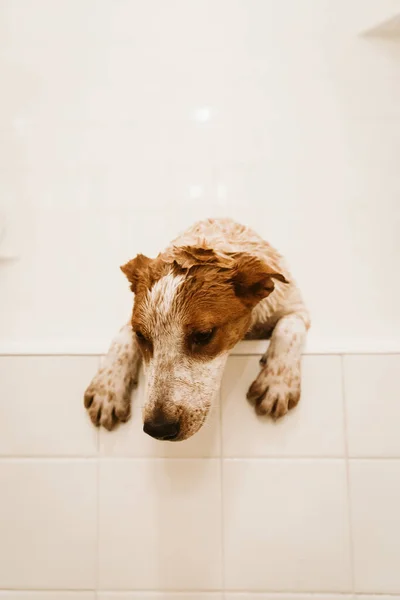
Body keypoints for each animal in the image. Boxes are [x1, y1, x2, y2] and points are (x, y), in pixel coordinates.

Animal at [83, 219, 310, 440]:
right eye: (141, 335)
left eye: (203, 335)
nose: (158, 429)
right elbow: (122, 335)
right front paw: (107, 387)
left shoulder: (296, 308)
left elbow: (289, 326)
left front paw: (277, 383)